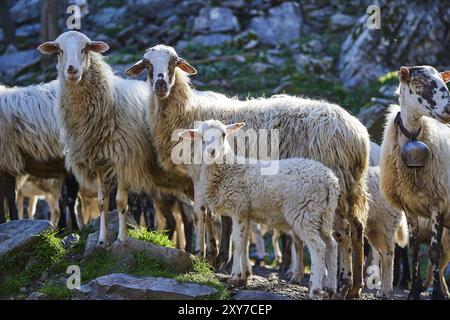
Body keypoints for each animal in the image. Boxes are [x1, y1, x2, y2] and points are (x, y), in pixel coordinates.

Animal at [37, 30, 192, 245]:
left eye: (85, 48)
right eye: (59, 50)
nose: (72, 70)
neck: (108, 101)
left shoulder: (124, 159)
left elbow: (120, 202)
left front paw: (121, 239)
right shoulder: (99, 162)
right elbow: (103, 203)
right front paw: (103, 240)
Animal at [181, 119, 340, 298]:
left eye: (223, 134)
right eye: (201, 137)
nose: (211, 152)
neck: (229, 169)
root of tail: (330, 180)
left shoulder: (239, 208)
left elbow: (237, 243)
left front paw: (234, 276)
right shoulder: (247, 213)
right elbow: (244, 243)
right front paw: (244, 277)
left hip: (305, 212)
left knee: (319, 247)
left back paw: (315, 289)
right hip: (322, 215)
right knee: (332, 245)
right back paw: (330, 290)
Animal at [380, 65, 450, 300]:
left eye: (444, 82)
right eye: (418, 82)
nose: (449, 109)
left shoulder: (439, 204)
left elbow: (434, 252)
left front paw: (436, 293)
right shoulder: (409, 208)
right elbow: (414, 249)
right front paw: (414, 290)